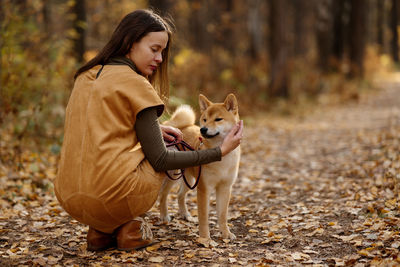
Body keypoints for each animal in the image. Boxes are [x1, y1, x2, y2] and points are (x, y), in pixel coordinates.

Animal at [159, 93, 241, 241]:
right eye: (204, 119)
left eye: (218, 119)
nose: (203, 129)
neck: (222, 157)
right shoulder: (204, 188)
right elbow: (203, 217)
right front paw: (205, 239)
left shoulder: (225, 188)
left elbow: (222, 215)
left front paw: (226, 234)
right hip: (174, 176)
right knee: (163, 195)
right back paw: (164, 216)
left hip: (190, 180)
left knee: (180, 195)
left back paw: (185, 214)